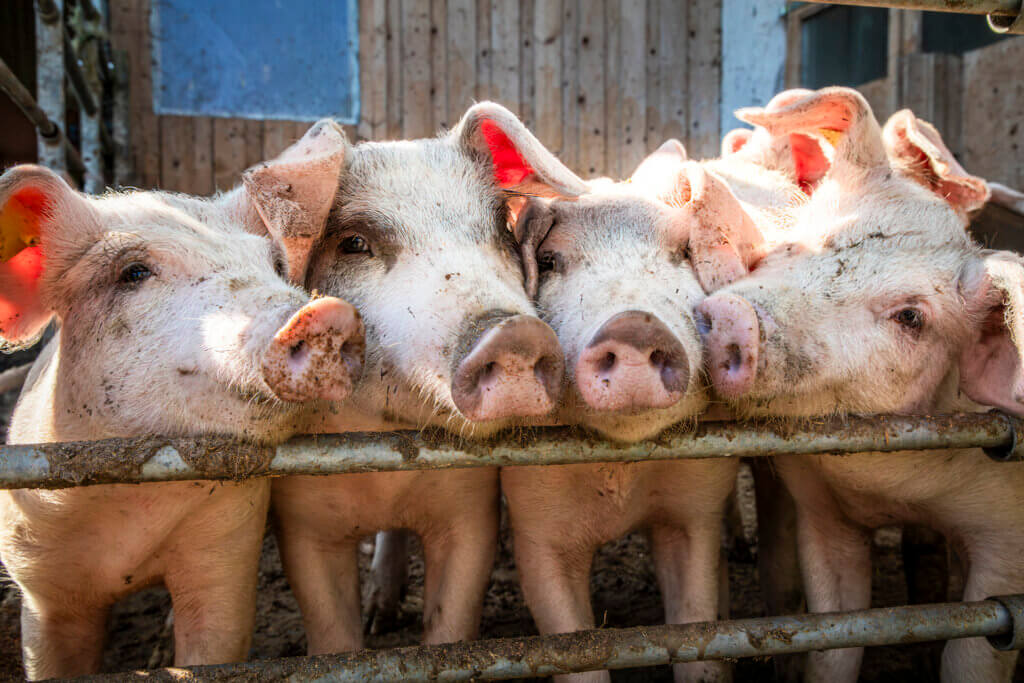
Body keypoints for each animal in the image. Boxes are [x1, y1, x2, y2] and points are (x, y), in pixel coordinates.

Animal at [0, 161, 366, 679]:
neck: (131, 516)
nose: (326, 313)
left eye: (273, 266)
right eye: (133, 273)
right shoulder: (39, 584)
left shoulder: (225, 550)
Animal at [258, 104, 585, 655]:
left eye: (500, 229)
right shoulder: (301, 521)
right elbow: (334, 636)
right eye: (355, 243)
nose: (513, 332)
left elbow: (449, 623)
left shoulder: (470, 510)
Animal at [696, 88, 1024, 679]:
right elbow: (836, 641)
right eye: (792, 245)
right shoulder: (824, 516)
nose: (734, 316)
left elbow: (972, 657)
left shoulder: (1006, 542)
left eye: (911, 318)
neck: (891, 491)